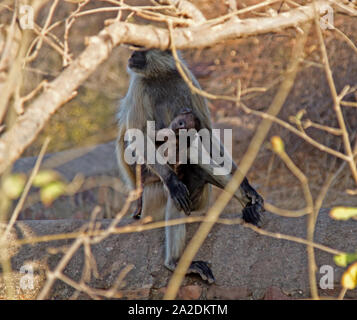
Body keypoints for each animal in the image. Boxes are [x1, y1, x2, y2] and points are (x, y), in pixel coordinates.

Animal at [115, 48, 262, 282]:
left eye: (140, 49)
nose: (131, 56)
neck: (161, 75)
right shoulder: (138, 84)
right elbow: (139, 136)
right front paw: (172, 181)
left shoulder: (187, 77)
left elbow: (206, 133)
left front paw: (247, 186)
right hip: (152, 199)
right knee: (175, 194)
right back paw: (175, 262)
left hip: (198, 200)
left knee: (197, 160)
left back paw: (249, 207)